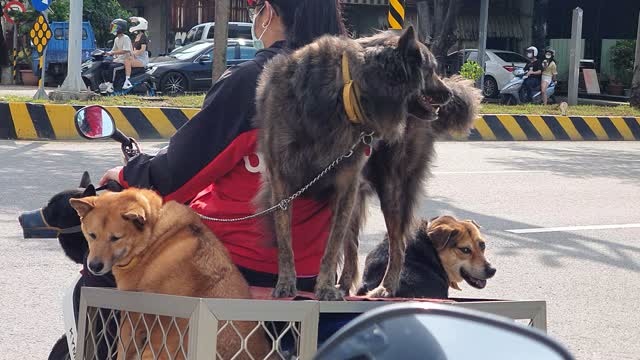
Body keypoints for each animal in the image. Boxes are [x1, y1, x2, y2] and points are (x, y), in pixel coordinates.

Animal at [70, 188, 270, 360]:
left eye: (115, 238)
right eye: (92, 235)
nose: (94, 266)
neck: (152, 237)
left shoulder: (132, 320)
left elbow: (122, 351)